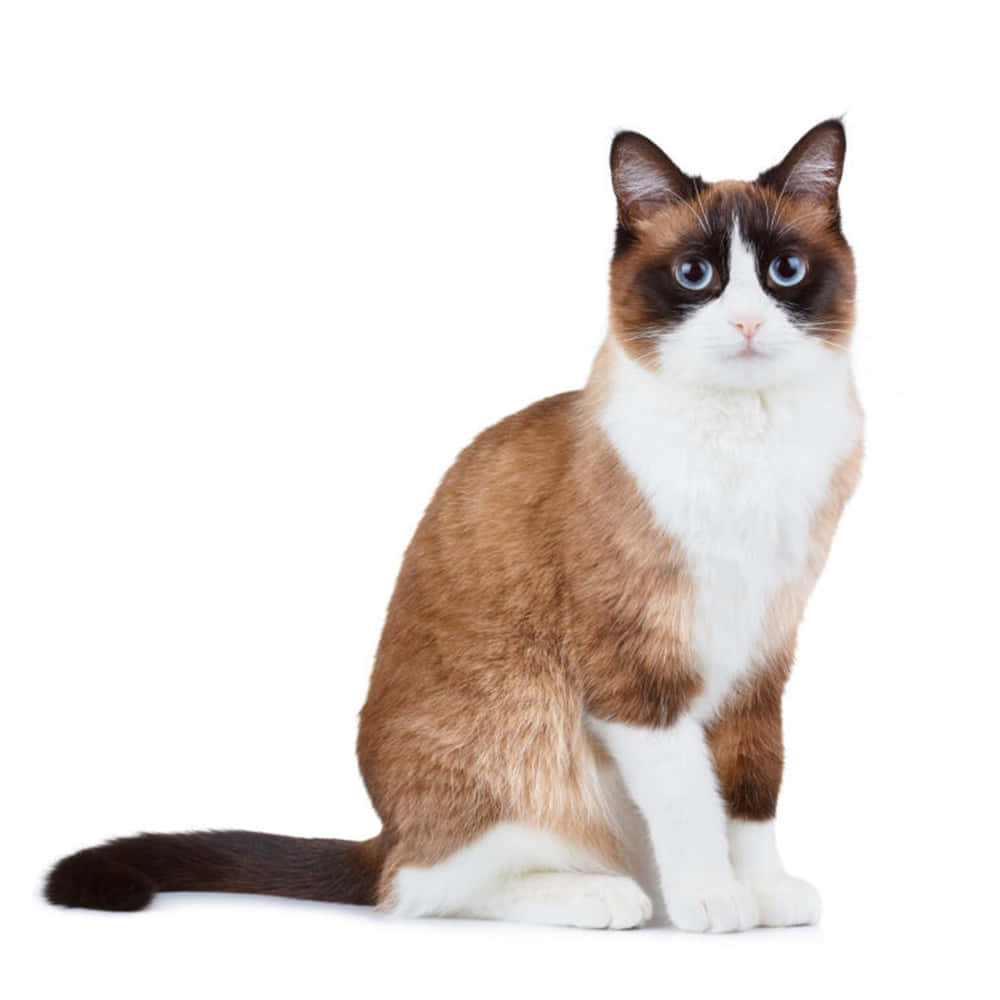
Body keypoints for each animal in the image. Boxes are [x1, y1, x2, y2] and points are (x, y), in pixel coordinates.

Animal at [45, 121, 860, 932]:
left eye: (785, 270)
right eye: (696, 276)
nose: (748, 323)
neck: (748, 438)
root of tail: (385, 832)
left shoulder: (760, 660)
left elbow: (752, 789)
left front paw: (764, 891)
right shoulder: (637, 675)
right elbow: (691, 800)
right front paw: (713, 900)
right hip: (526, 732)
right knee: (423, 887)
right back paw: (603, 894)